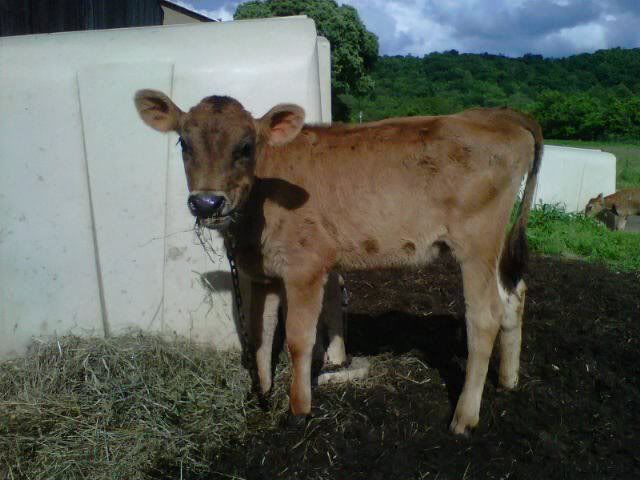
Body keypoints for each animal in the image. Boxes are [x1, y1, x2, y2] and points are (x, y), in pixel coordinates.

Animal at [134, 90, 542, 435]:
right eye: (184, 143)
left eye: (246, 146)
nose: (207, 203)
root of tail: (497, 115)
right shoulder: (263, 273)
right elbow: (262, 335)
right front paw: (260, 394)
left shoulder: (305, 266)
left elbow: (298, 339)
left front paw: (298, 409)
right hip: (492, 249)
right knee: (513, 295)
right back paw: (507, 380)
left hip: (477, 242)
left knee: (485, 316)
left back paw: (464, 417)